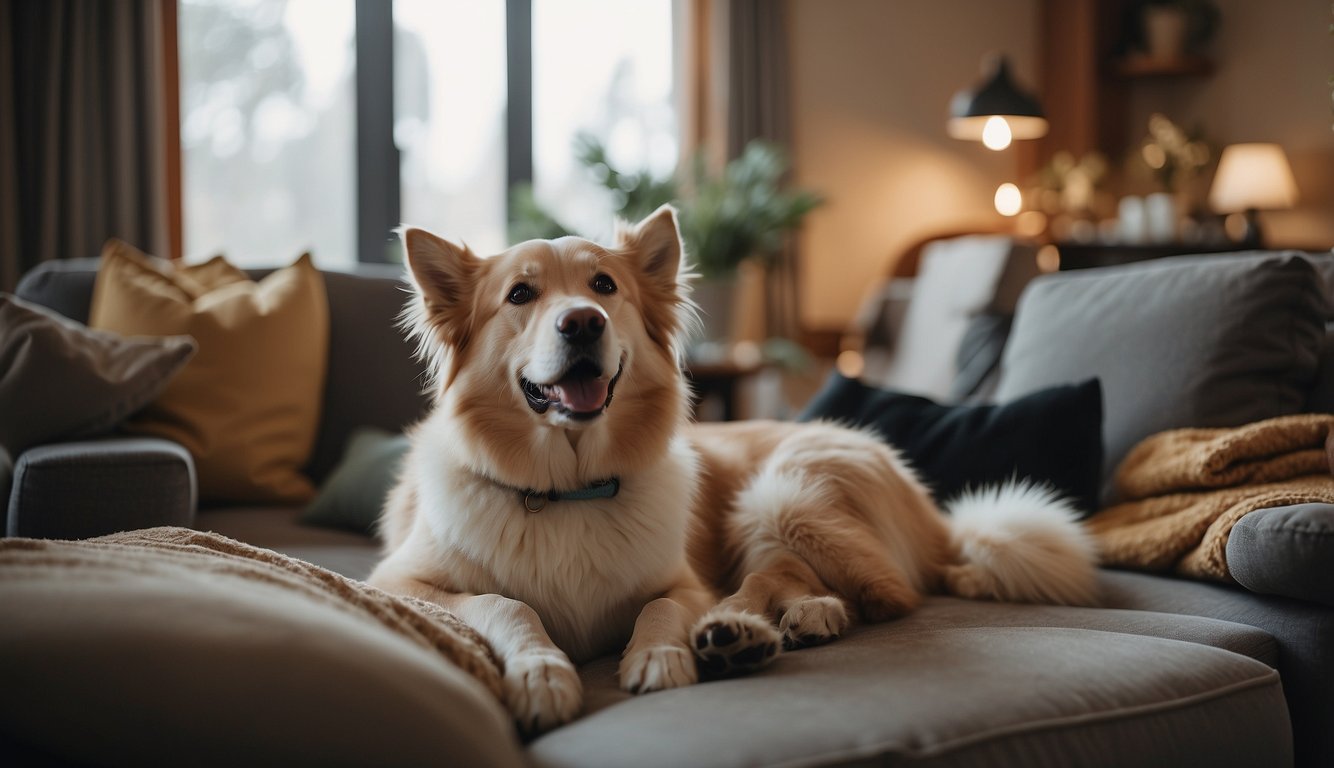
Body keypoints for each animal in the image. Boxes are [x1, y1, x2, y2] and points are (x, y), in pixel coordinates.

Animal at [365, 206, 1093, 736]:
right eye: (520, 294)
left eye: (604, 286)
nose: (583, 323)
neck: (569, 487)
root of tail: (937, 520)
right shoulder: (398, 582)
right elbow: (504, 601)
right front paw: (543, 673)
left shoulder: (683, 581)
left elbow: (663, 605)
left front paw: (660, 653)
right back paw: (784, 623)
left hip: (781, 493)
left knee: (853, 587)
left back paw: (741, 632)